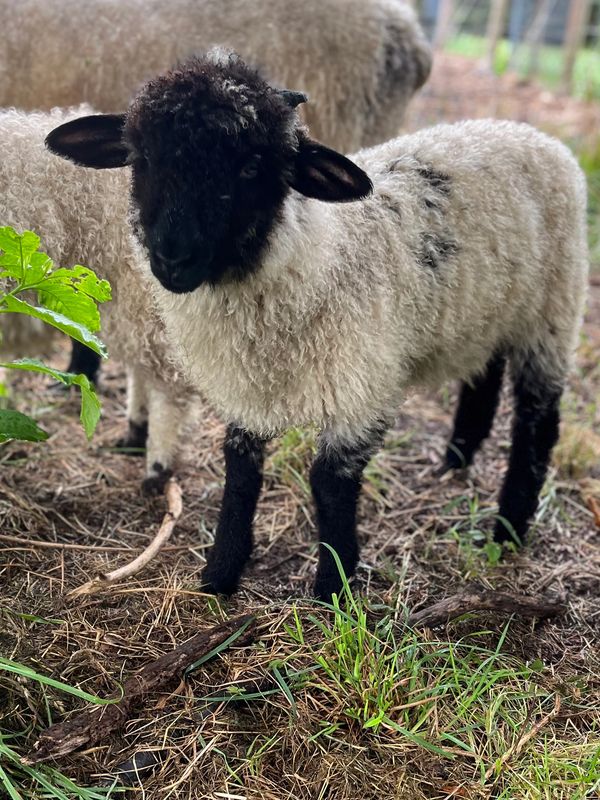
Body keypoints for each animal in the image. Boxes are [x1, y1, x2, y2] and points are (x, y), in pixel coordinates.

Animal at [47, 52, 589, 600]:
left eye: (251, 168)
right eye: (143, 158)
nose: (173, 258)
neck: (314, 259)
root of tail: (531, 133)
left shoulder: (362, 386)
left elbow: (330, 485)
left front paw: (335, 585)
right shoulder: (246, 383)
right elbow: (240, 473)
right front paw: (221, 573)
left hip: (553, 313)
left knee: (538, 422)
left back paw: (509, 528)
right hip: (488, 312)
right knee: (483, 377)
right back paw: (456, 460)